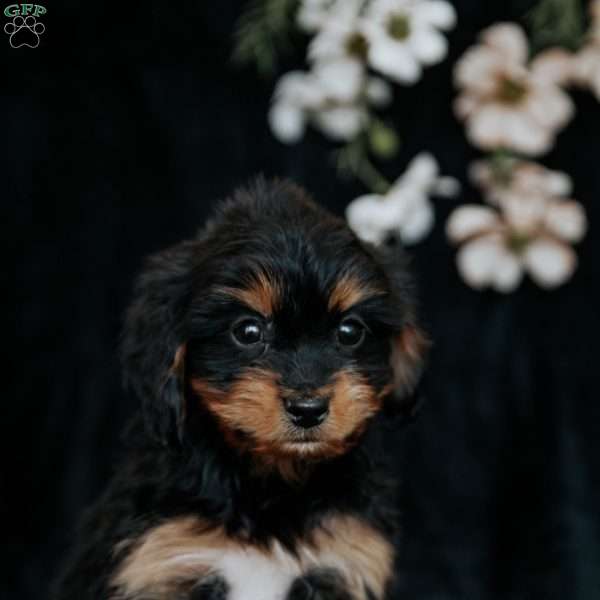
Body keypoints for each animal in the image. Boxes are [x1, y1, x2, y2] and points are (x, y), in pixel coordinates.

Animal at [52, 179, 426, 600]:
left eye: (350, 332)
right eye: (248, 332)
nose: (308, 408)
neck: (269, 483)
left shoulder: (343, 561)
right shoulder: (162, 558)